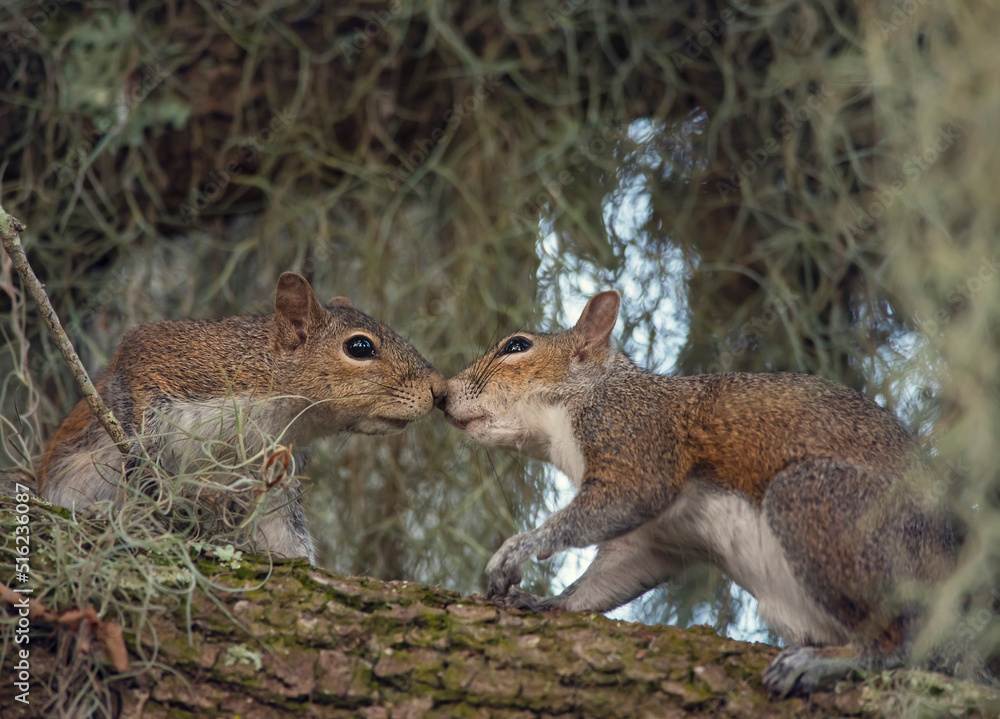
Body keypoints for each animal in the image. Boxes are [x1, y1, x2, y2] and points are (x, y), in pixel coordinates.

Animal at [38, 272, 445, 563]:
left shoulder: (276, 471)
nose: (438, 388)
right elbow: (135, 402)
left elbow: (283, 533)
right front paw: (150, 474)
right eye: (360, 347)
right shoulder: (162, 362)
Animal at [438, 290, 958, 696]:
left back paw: (827, 661)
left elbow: (624, 497)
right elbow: (608, 576)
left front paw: (517, 549)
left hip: (825, 508)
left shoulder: (638, 438)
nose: (441, 395)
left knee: (901, 641)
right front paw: (546, 603)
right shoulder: (656, 539)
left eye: (517, 346)